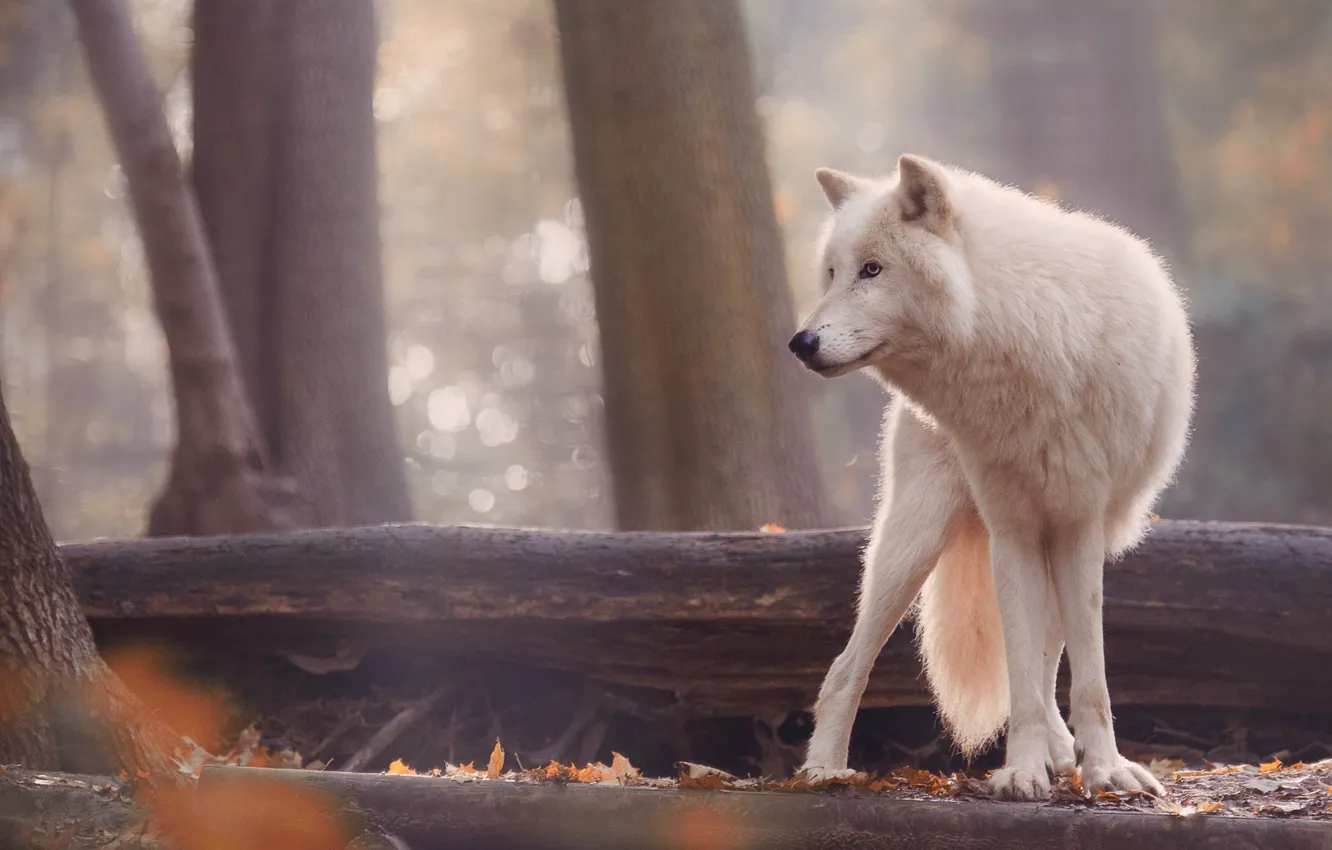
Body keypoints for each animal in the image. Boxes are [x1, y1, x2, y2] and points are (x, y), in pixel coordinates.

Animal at [788, 154, 1195, 800]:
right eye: (831, 274)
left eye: (872, 270)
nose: (801, 342)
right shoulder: (1013, 530)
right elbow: (1022, 676)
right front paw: (1023, 771)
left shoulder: (1078, 524)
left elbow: (1087, 677)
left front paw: (1104, 770)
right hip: (912, 544)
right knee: (845, 667)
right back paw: (825, 769)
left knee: (1052, 659)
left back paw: (1065, 751)